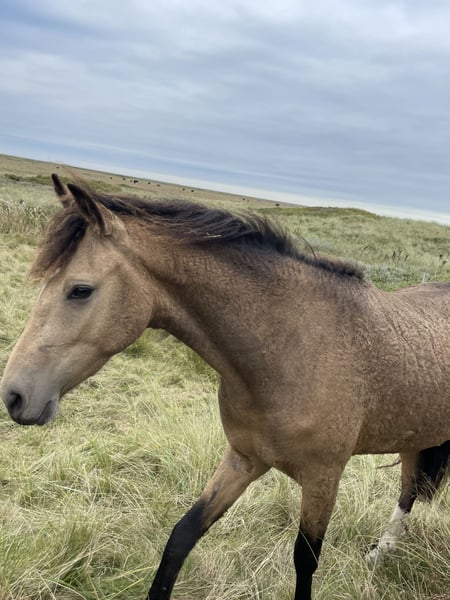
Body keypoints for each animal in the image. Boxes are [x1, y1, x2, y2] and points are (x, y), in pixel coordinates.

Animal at [1, 175, 449, 600]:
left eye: (80, 290)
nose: (13, 395)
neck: (290, 347)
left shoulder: (323, 478)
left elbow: (305, 561)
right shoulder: (243, 460)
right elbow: (182, 535)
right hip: (418, 439)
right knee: (409, 492)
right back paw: (378, 555)